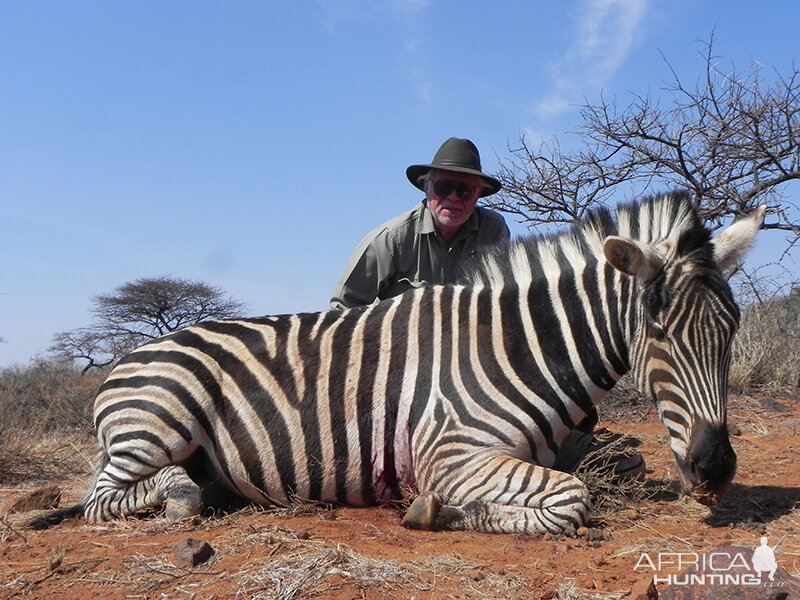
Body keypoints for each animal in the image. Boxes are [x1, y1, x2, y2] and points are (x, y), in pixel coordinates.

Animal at [34, 192, 764, 536]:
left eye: (731, 330)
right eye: (658, 333)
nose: (715, 468)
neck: (517, 346)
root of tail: (126, 359)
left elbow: (579, 485)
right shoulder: (450, 453)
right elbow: (571, 500)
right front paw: (438, 513)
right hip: (159, 421)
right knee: (104, 499)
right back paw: (181, 497)